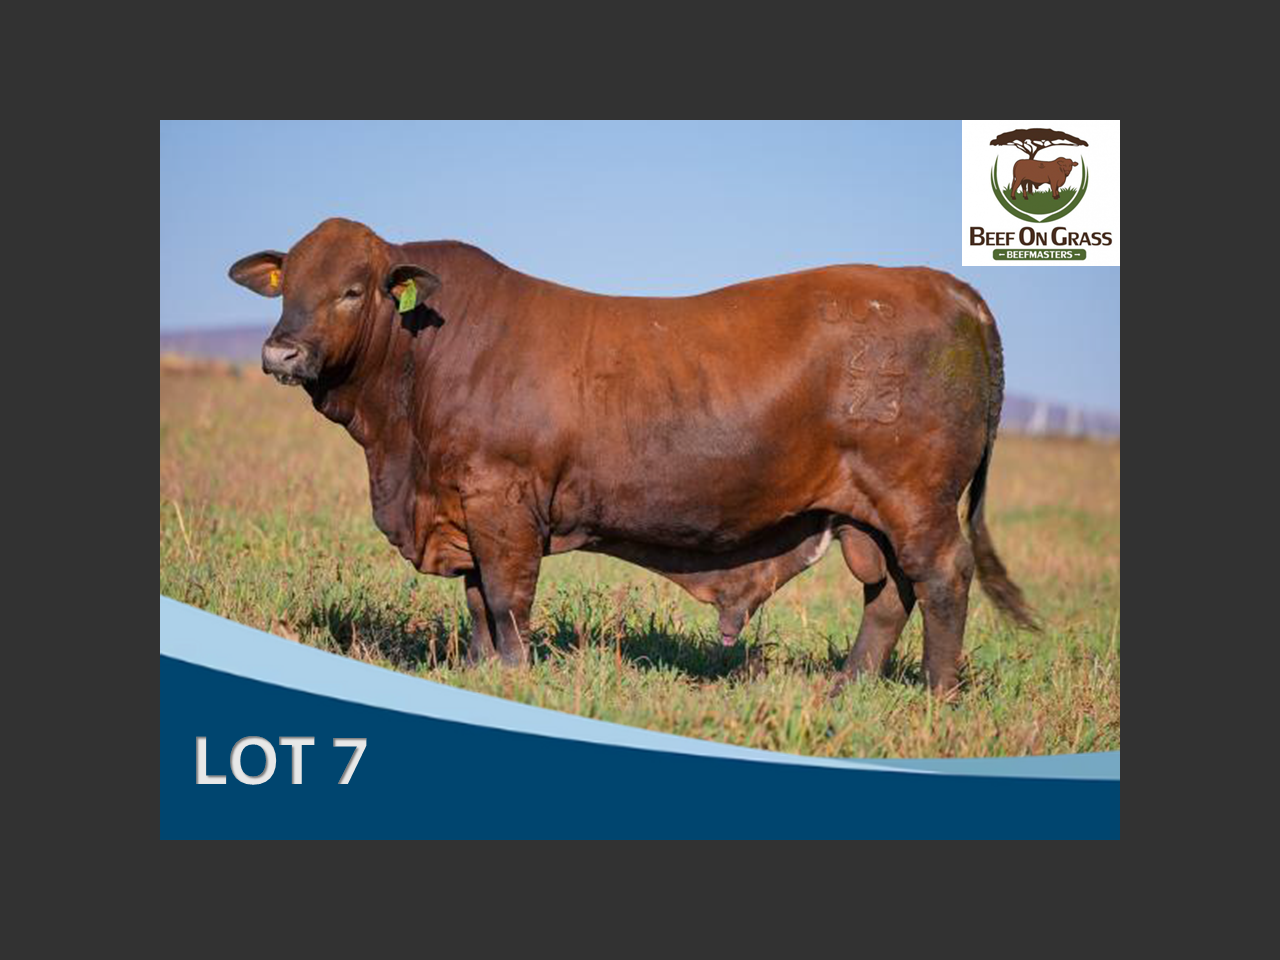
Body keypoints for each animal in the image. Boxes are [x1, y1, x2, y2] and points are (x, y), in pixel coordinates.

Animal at [230, 218, 1037, 696]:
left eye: (352, 289)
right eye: (287, 285)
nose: (280, 352)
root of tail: (943, 284)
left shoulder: (501, 503)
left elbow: (506, 600)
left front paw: (515, 677)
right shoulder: (463, 510)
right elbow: (477, 602)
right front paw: (480, 674)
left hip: (915, 499)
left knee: (940, 579)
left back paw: (935, 694)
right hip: (869, 513)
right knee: (888, 593)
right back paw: (849, 690)